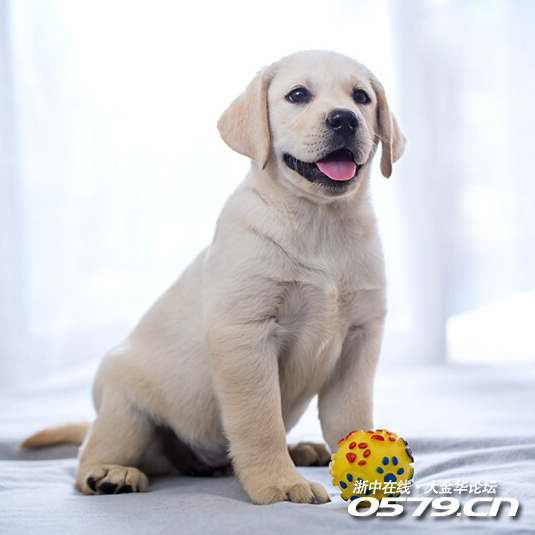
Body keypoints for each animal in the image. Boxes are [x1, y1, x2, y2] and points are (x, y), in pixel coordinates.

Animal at [22, 50, 405, 504]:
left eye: (361, 97)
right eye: (297, 95)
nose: (345, 119)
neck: (319, 222)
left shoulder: (360, 339)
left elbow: (351, 416)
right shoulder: (244, 334)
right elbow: (260, 421)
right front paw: (280, 483)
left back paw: (299, 448)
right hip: (125, 410)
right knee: (88, 456)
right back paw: (109, 473)